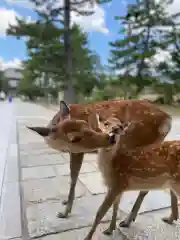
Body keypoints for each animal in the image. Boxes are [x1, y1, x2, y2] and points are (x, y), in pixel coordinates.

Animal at [27, 99, 177, 231]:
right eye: (75, 137)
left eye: (85, 123)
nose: (108, 137)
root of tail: (168, 120)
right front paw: (64, 203)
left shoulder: (77, 151)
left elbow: (73, 177)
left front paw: (64, 212)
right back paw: (169, 218)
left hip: (135, 145)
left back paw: (126, 221)